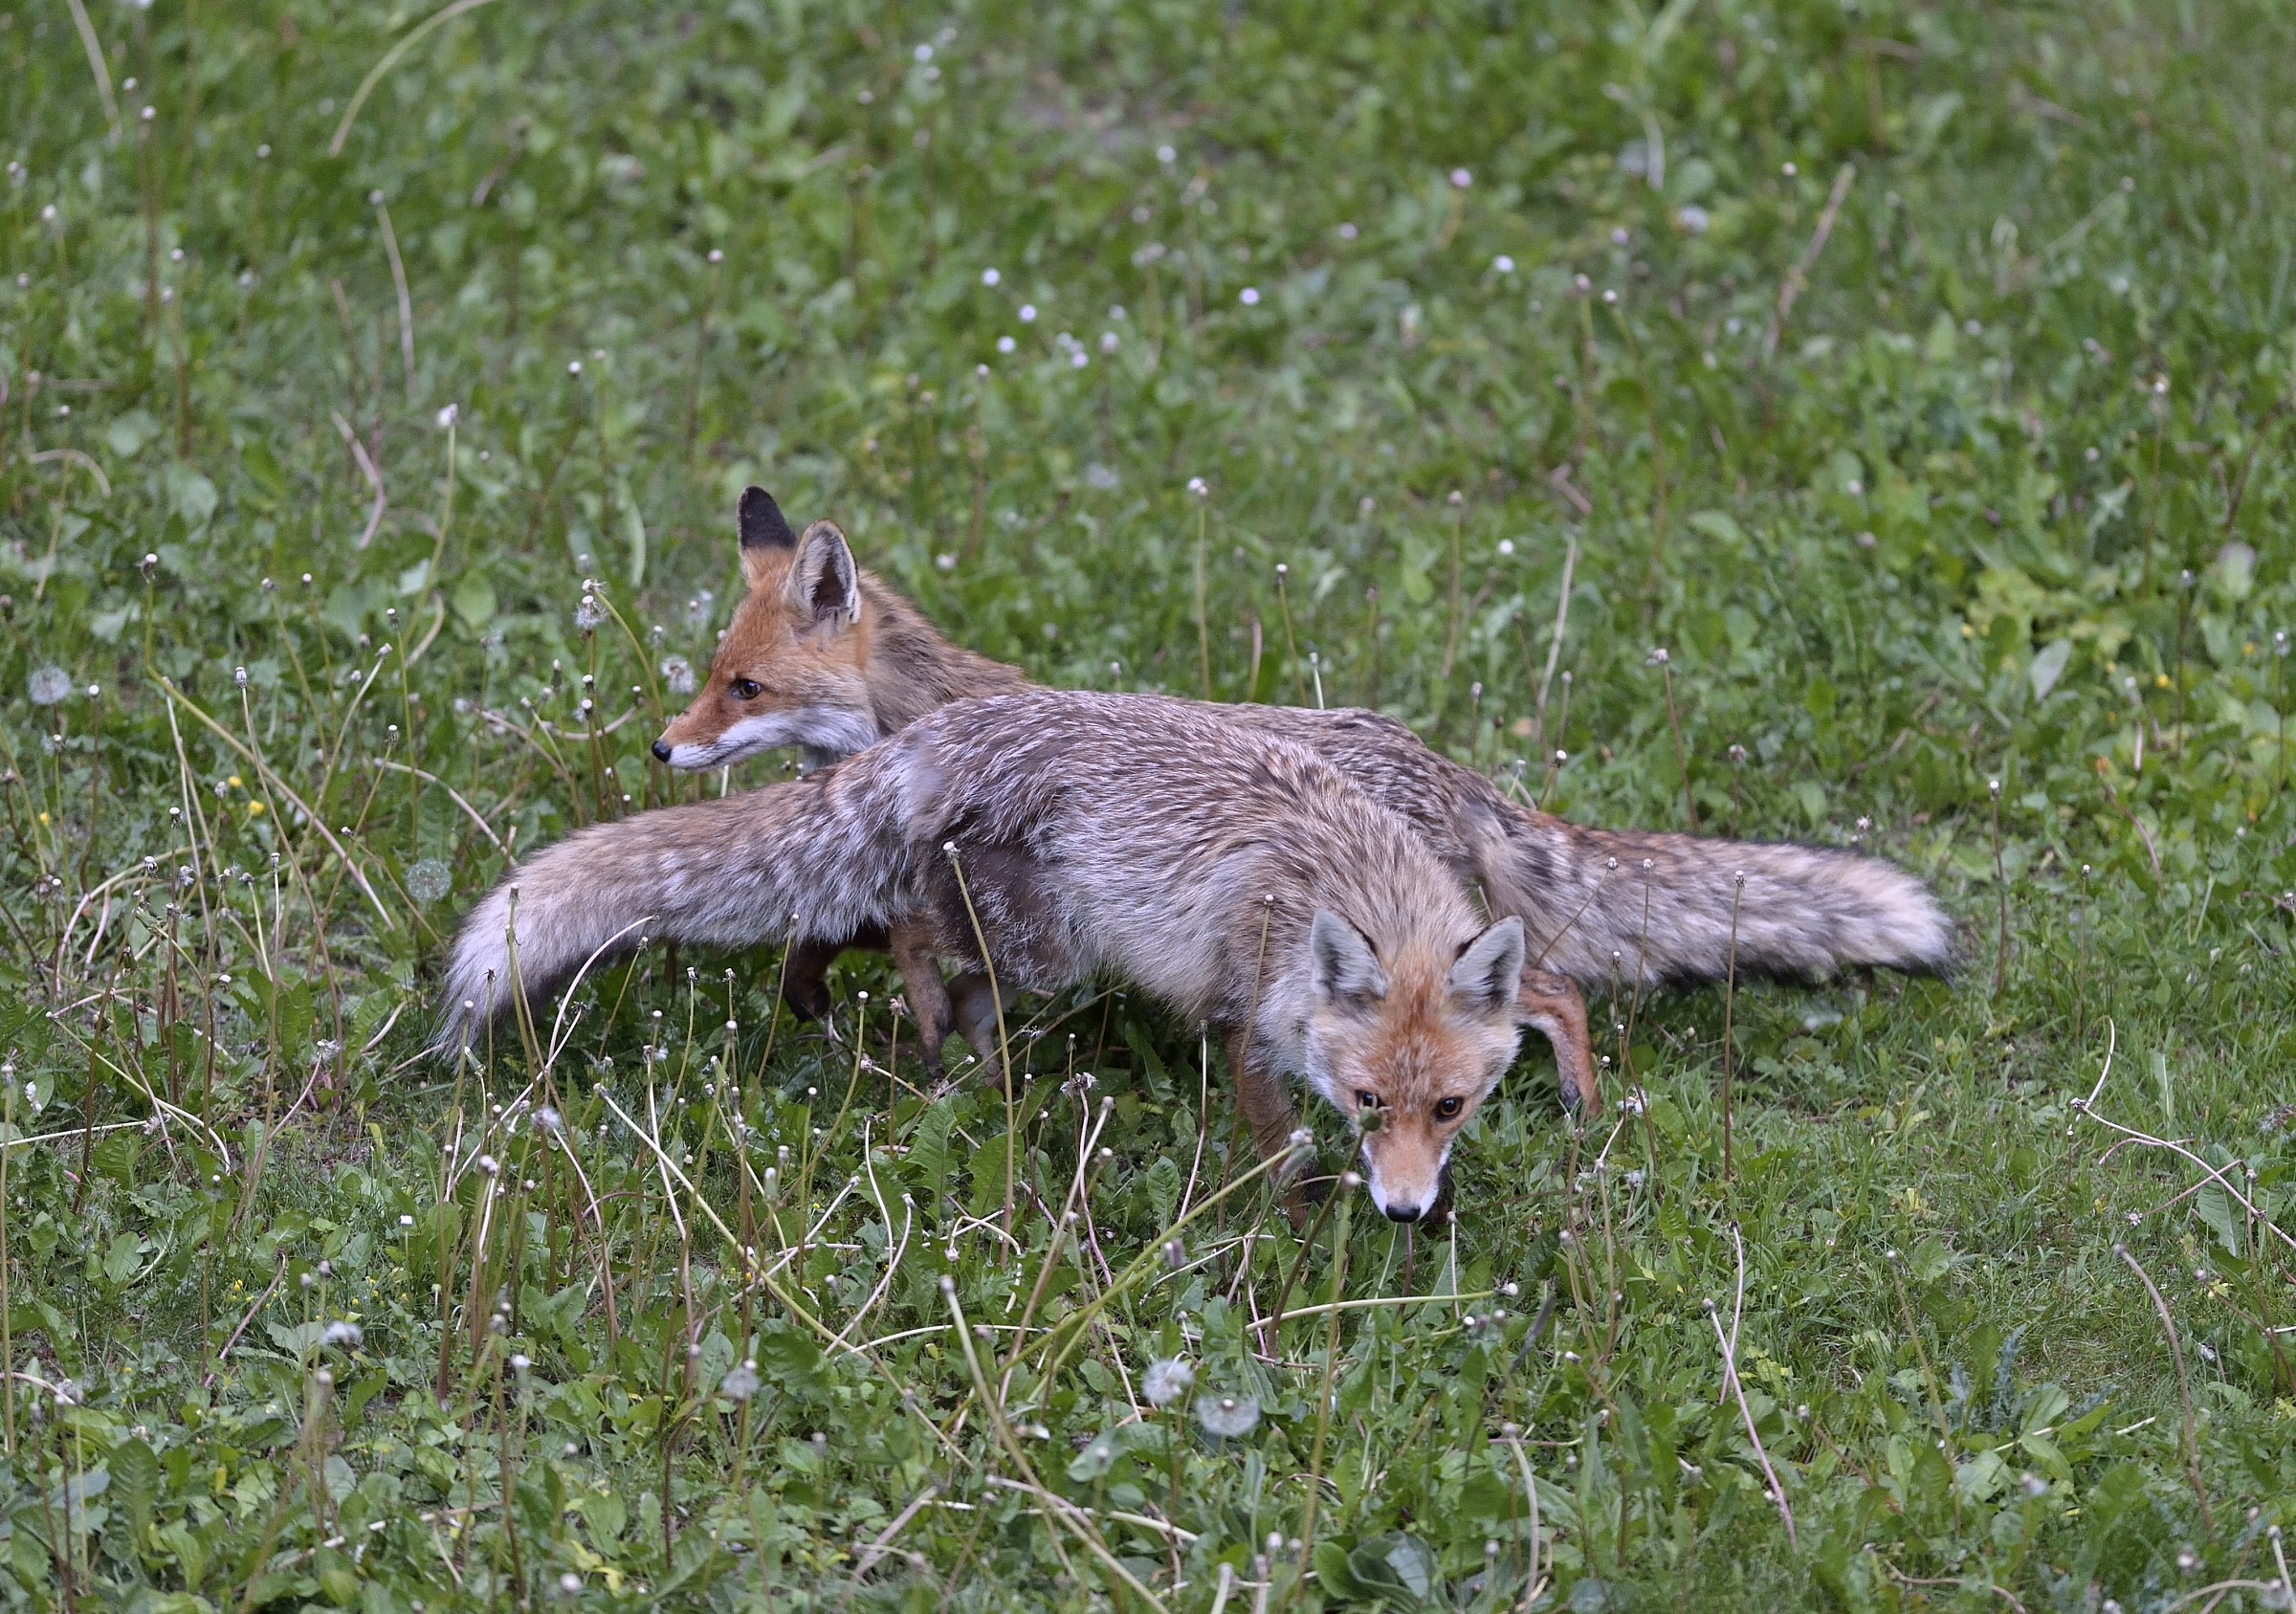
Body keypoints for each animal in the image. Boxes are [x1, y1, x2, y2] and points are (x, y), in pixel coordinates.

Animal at [446, 690, 1544, 1223]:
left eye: (1452, 1106)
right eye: (1368, 1099)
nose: (1405, 1212)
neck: (1353, 877)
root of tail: (953, 726)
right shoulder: (1247, 1019)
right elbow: (1280, 1146)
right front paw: (1304, 1224)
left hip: (1036, 945)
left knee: (958, 979)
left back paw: (982, 1074)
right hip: (1046, 942)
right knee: (912, 934)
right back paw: (919, 1026)